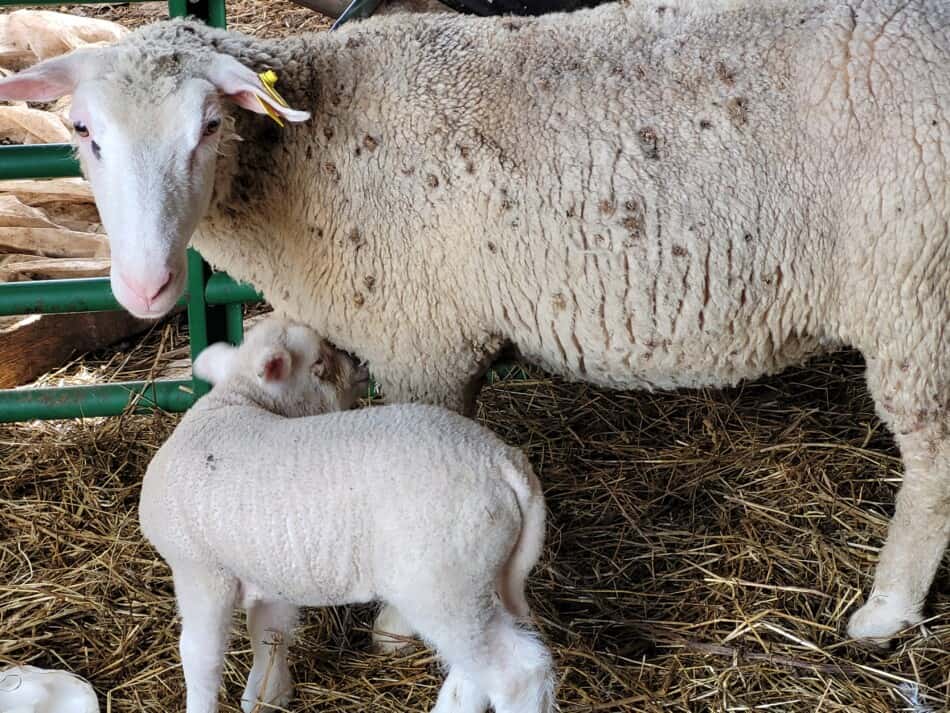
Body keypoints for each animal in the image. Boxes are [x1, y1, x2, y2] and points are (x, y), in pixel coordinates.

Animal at [0, 0, 948, 648]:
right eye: (81, 130)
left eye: (207, 125)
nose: (147, 283)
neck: (306, 158)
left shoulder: (422, 337)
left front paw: (395, 622)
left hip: (915, 299)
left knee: (933, 469)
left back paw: (885, 612)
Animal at [138, 318, 556, 712]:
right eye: (319, 364)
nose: (359, 365)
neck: (235, 401)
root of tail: (503, 462)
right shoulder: (267, 570)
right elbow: (269, 633)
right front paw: (268, 694)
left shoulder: (200, 571)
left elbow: (200, 656)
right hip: (483, 576)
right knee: (475, 668)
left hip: (444, 587)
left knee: (516, 674)